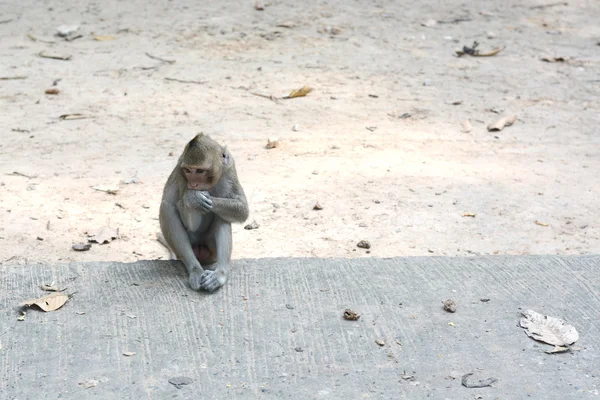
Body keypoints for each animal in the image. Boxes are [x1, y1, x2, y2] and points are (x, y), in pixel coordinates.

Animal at [159, 133, 248, 292]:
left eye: (200, 171)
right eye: (188, 170)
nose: (193, 184)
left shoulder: (230, 167)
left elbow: (242, 209)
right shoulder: (181, 173)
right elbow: (189, 220)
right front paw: (192, 198)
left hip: (211, 250)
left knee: (222, 216)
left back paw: (219, 275)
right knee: (166, 208)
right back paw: (195, 270)